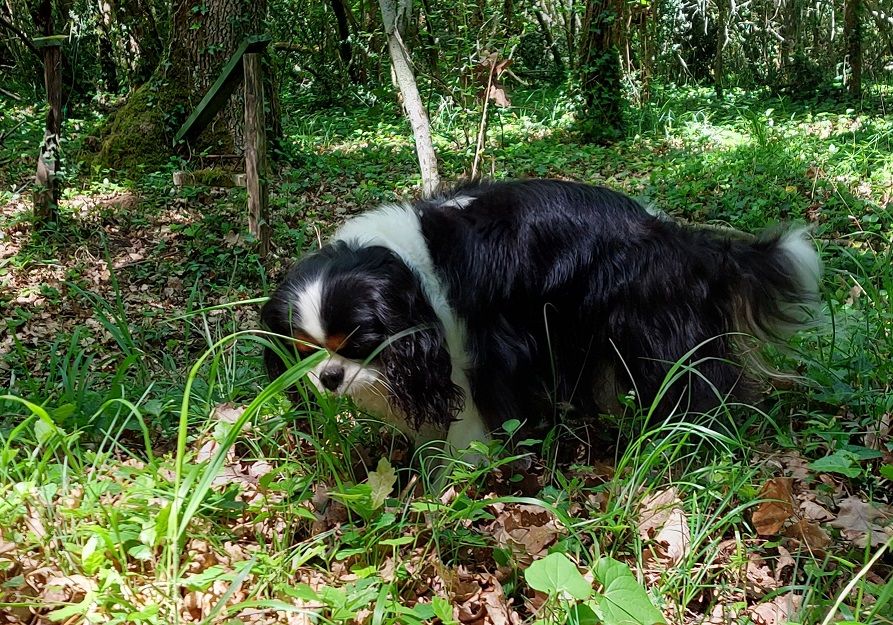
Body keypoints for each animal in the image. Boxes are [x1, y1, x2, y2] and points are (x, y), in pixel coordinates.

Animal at [262, 178, 820, 450]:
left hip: (652, 332)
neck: (406, 275)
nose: (329, 377)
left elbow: (467, 428)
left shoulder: (471, 359)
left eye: (360, 345)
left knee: (694, 386)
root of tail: (673, 237)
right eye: (305, 352)